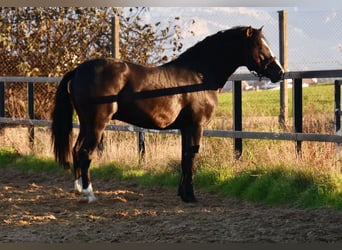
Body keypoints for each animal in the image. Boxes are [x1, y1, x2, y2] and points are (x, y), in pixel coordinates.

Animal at [50, 25, 284, 203]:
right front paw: (191, 196)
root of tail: (78, 70)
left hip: (85, 124)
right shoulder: (196, 126)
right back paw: (90, 194)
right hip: (97, 125)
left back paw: (78, 190)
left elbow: (184, 158)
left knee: (75, 150)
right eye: (260, 46)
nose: (279, 72)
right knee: (84, 153)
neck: (199, 76)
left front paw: (183, 194)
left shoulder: (184, 128)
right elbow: (191, 157)